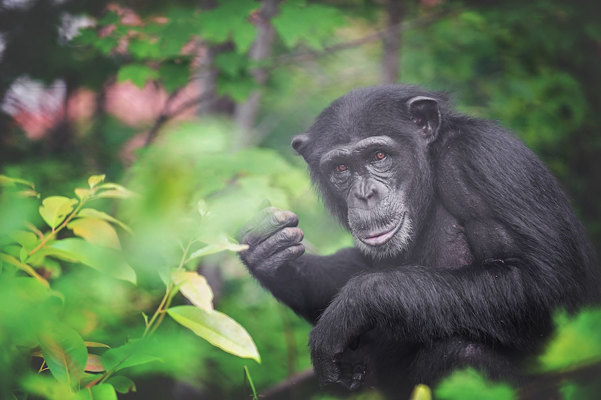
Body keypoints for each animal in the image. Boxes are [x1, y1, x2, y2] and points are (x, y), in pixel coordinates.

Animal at [238, 85, 596, 396]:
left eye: (379, 155)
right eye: (340, 167)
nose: (364, 194)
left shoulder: (490, 162)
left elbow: (547, 286)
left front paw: (356, 302)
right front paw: (270, 253)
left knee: (463, 353)